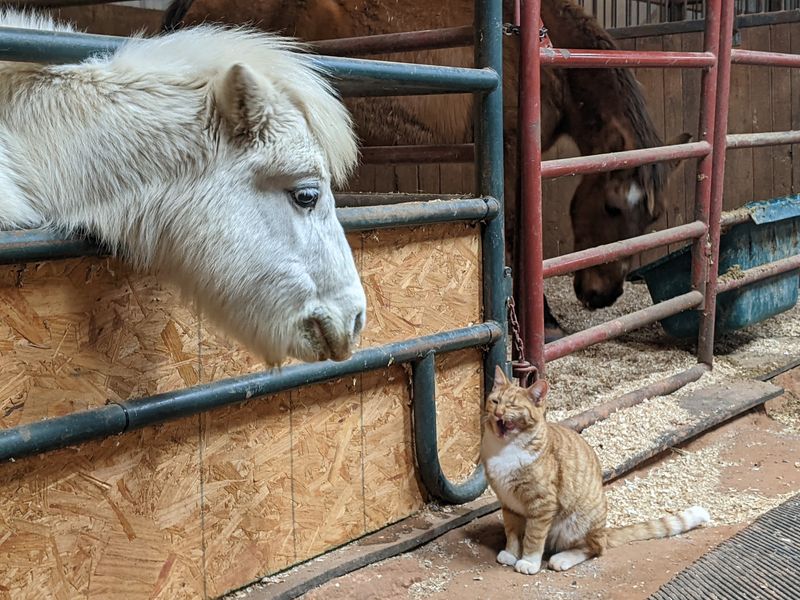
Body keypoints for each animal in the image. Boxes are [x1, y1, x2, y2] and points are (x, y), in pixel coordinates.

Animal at [162, 0, 690, 340]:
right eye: (612, 207)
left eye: (652, 218)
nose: (603, 295)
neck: (539, 46)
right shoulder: (513, 151)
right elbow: (518, 236)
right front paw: (542, 322)